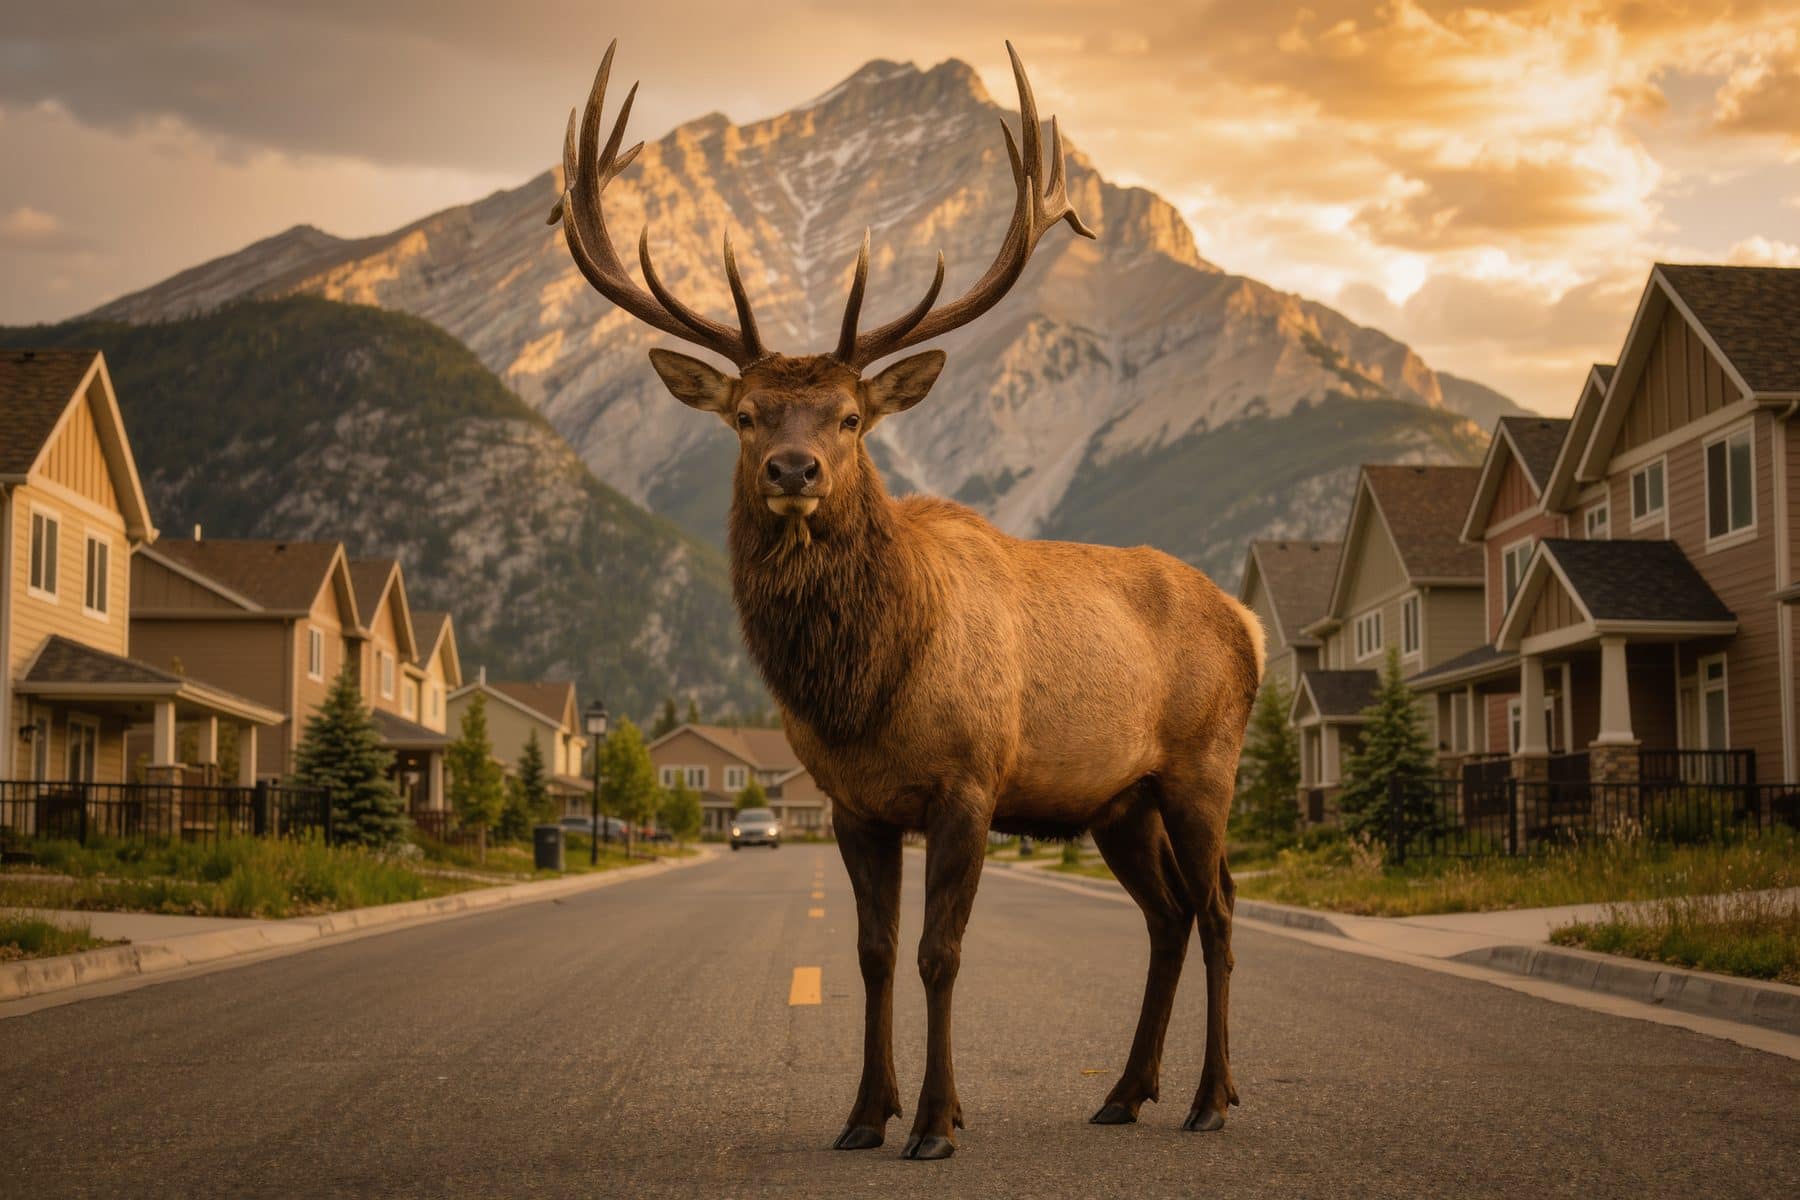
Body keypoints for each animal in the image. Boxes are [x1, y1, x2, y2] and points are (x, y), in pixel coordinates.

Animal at [549, 40, 1264, 1160]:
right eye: (746, 414)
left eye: (849, 416)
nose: (793, 469)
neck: (864, 690)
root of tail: (1251, 626)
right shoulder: (854, 804)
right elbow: (874, 953)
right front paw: (862, 1114)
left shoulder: (968, 782)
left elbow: (939, 954)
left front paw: (935, 1122)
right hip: (1117, 799)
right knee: (1168, 915)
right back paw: (1124, 1091)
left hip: (1202, 767)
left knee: (1223, 908)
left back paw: (1209, 1099)